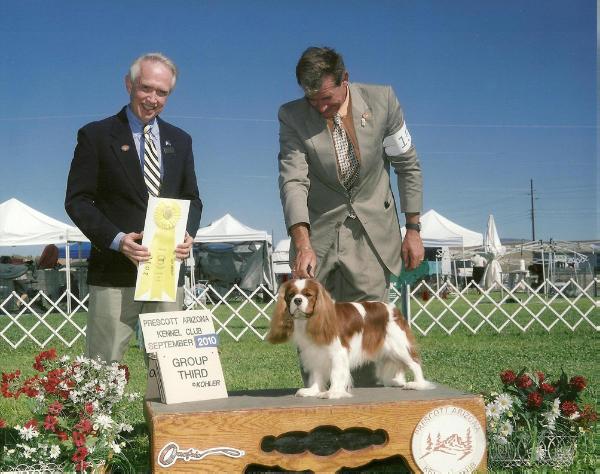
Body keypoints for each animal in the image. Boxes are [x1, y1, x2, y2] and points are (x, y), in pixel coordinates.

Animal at [266, 280, 432, 398]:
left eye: (308, 295)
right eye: (291, 295)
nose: (297, 301)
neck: (309, 320)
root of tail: (393, 308)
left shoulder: (338, 353)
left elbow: (335, 374)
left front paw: (333, 392)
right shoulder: (315, 353)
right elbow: (316, 374)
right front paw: (312, 391)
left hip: (398, 346)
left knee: (414, 363)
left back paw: (418, 384)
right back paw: (397, 382)